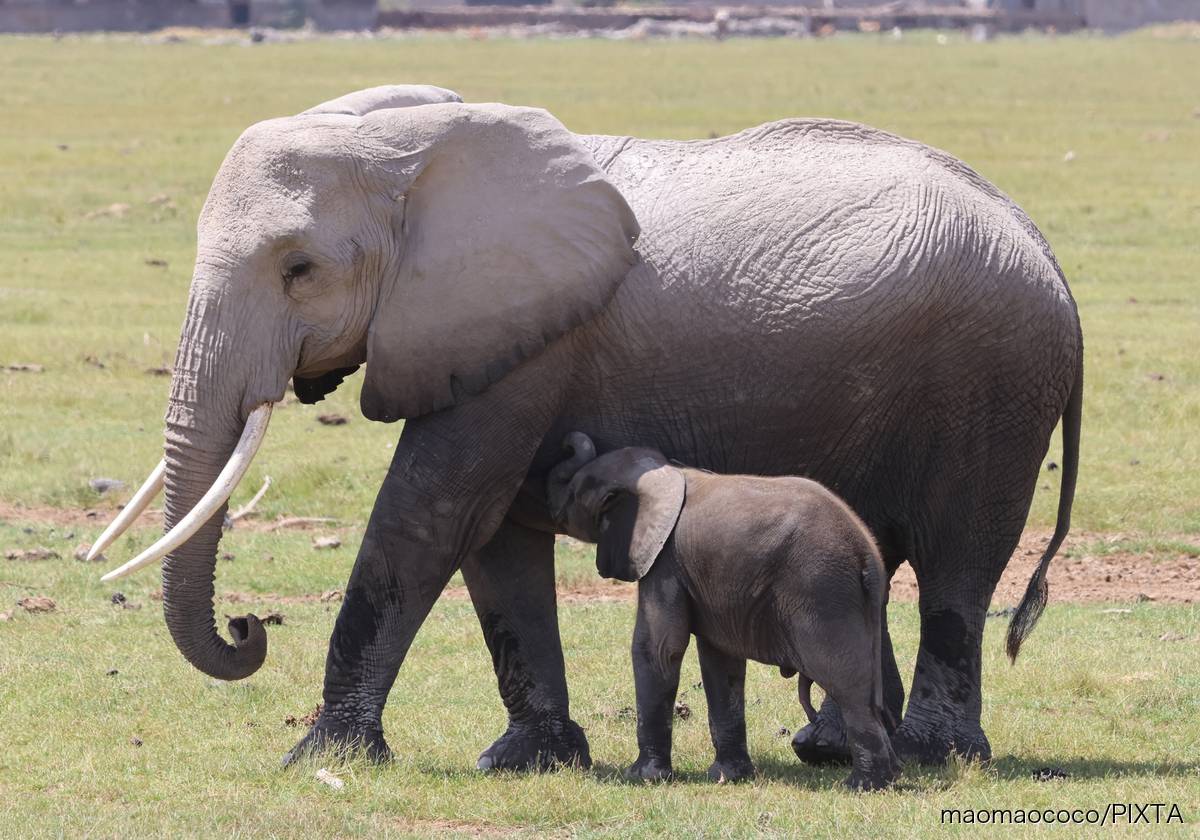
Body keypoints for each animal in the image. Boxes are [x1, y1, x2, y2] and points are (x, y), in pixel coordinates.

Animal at [546, 433, 901, 791]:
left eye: (574, 492)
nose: (567, 441)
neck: (667, 473)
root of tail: (867, 554)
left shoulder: (665, 562)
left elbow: (659, 649)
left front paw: (642, 777)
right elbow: (721, 661)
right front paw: (726, 777)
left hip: (821, 591)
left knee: (846, 686)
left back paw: (861, 785)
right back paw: (888, 776)